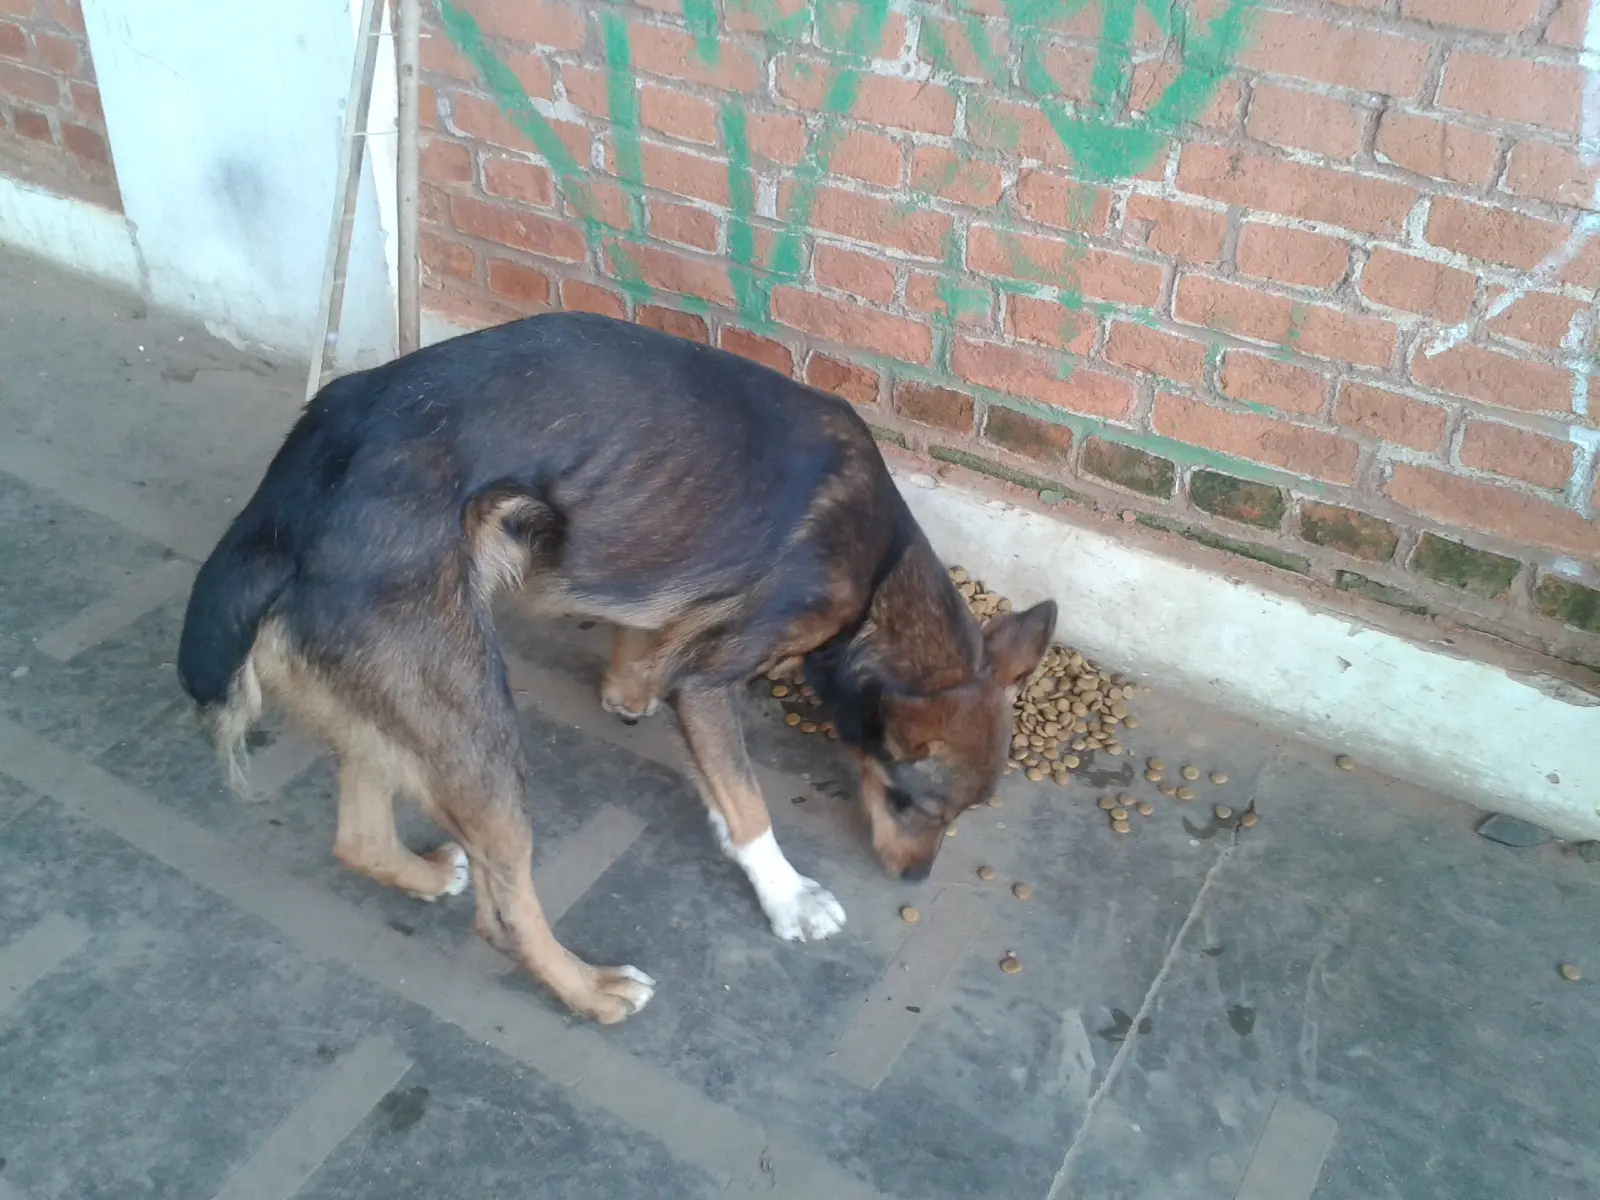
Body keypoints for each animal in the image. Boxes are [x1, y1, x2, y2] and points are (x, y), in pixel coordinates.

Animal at [178, 312, 1049, 1024]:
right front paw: (783, 894)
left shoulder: (670, 637)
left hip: (403, 711)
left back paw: (420, 875)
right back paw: (588, 990)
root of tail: (283, 512)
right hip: (476, 727)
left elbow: (660, 685)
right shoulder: (712, 681)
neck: (881, 578)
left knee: (357, 838)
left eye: (959, 815)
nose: (911, 882)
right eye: (908, 802)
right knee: (502, 913)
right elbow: (747, 800)